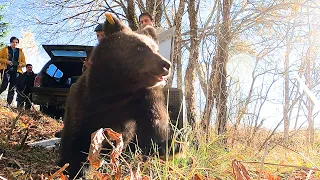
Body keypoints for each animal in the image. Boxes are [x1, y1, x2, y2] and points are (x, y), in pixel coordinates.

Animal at [57, 14, 172, 179]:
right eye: (140, 47)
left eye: (156, 48)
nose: (166, 64)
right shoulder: (87, 104)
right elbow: (78, 141)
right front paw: (73, 170)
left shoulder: (142, 102)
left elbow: (154, 125)